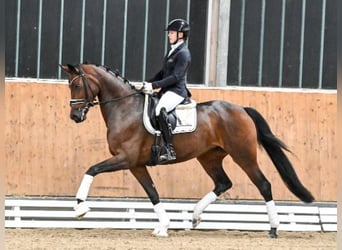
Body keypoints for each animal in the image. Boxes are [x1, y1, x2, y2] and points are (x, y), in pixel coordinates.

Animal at [60, 63, 314, 237]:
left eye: (77, 85)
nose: (75, 116)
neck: (125, 108)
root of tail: (241, 108)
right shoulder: (136, 164)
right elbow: (152, 193)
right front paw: (163, 226)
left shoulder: (125, 159)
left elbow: (91, 169)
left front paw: (80, 208)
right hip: (209, 157)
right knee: (223, 183)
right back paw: (195, 216)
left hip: (243, 155)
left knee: (263, 184)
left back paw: (273, 228)